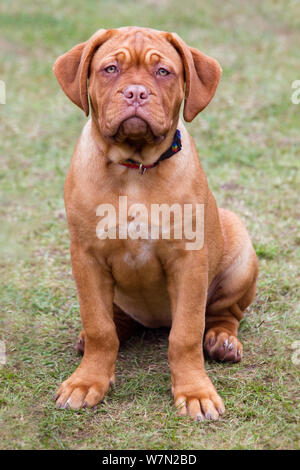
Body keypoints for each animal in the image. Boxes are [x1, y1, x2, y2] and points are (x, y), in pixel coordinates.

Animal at [53, 26, 258, 422]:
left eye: (163, 72)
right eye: (110, 69)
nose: (136, 92)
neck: (134, 169)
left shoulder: (188, 261)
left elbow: (186, 335)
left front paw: (195, 391)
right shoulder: (86, 256)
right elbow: (100, 328)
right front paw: (88, 381)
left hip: (240, 252)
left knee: (223, 314)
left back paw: (222, 340)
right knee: (113, 322)